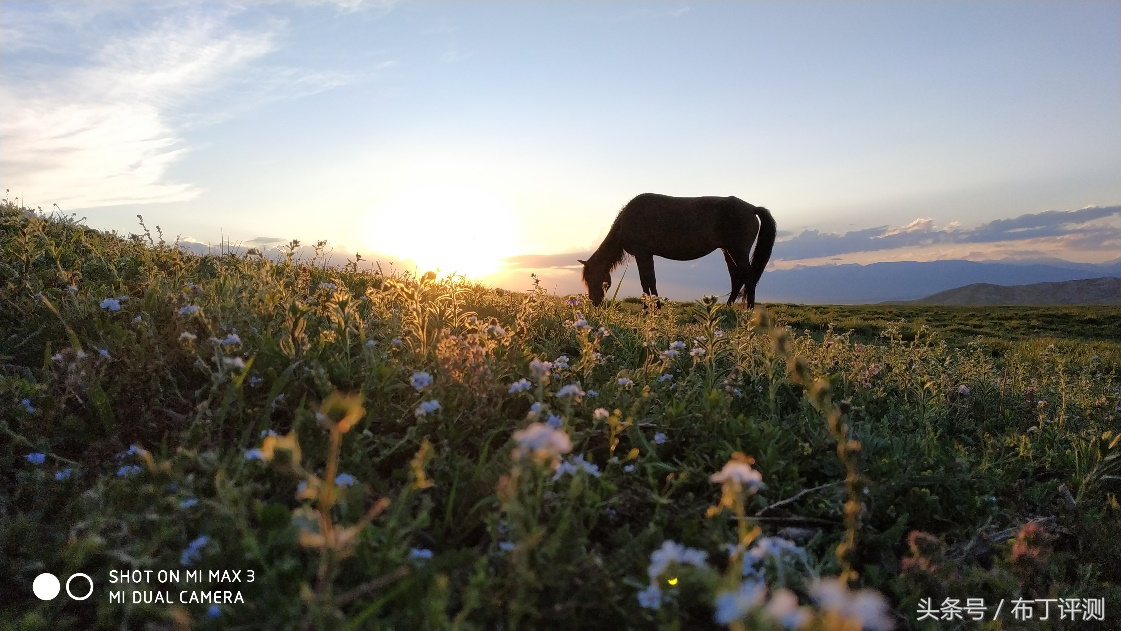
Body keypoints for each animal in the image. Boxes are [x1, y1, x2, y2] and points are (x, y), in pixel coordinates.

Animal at [582, 193, 775, 309]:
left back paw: (748, 313)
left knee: (748, 280)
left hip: (738, 252)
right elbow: (651, 281)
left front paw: (648, 310)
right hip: (728, 251)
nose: (594, 303)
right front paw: (656, 308)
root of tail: (752, 208)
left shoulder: (642, 253)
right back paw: (727, 310)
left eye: (591, 278)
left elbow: (646, 281)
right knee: (737, 279)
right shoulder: (647, 254)